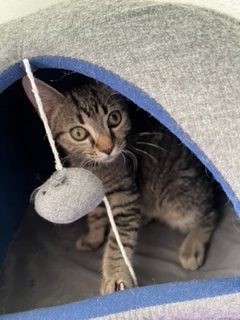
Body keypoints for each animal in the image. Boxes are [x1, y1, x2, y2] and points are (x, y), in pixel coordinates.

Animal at [22, 76, 218, 294]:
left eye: (114, 118)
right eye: (79, 133)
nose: (108, 148)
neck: (98, 169)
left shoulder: (125, 196)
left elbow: (118, 241)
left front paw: (116, 276)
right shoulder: (94, 195)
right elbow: (95, 216)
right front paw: (93, 237)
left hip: (176, 198)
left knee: (210, 214)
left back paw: (191, 248)